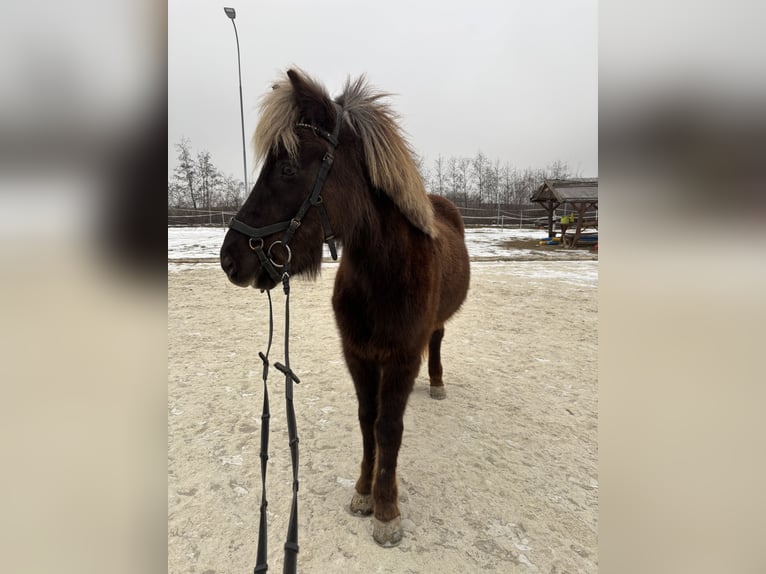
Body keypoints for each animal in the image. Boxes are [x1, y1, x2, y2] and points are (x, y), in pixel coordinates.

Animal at [220, 68, 470, 546]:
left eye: (288, 168)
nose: (229, 260)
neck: (382, 276)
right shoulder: (358, 356)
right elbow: (367, 419)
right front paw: (363, 492)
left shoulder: (401, 356)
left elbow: (389, 428)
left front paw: (387, 511)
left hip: (434, 330)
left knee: (438, 340)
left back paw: (436, 382)